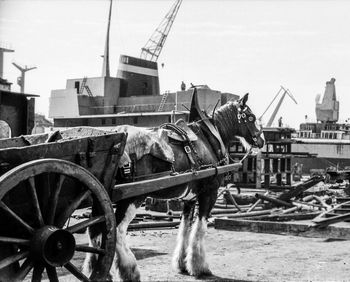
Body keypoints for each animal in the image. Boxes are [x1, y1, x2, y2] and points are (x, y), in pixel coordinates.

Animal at [82, 89, 262, 280]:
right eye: (251, 117)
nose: (262, 140)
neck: (209, 138)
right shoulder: (210, 192)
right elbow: (200, 228)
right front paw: (199, 266)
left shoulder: (189, 198)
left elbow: (185, 228)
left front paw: (182, 264)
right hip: (131, 198)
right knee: (117, 231)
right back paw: (129, 270)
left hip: (101, 195)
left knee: (96, 230)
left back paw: (97, 269)